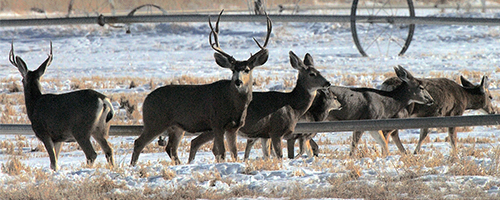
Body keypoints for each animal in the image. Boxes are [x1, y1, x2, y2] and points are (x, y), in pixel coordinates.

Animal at [9, 41, 114, 171]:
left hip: (81, 129)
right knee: (108, 150)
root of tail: (103, 99)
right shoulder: (58, 138)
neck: (34, 105)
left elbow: (53, 161)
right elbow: (56, 160)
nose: (21, 81)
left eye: (22, 80)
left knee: (92, 154)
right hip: (100, 128)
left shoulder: (44, 133)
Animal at [128, 9, 270, 166]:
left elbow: (234, 153)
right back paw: (133, 166)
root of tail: (146, 100)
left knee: (170, 148)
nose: (238, 81)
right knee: (139, 142)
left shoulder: (233, 127)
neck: (234, 105)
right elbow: (222, 152)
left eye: (246, 69)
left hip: (176, 127)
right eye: (233, 70)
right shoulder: (217, 123)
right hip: (155, 121)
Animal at [188, 51, 332, 162]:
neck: (291, 105)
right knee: (197, 142)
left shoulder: (264, 134)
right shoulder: (276, 131)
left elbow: (267, 155)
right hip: (214, 125)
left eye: (319, 71)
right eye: (312, 74)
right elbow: (279, 155)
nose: (328, 83)